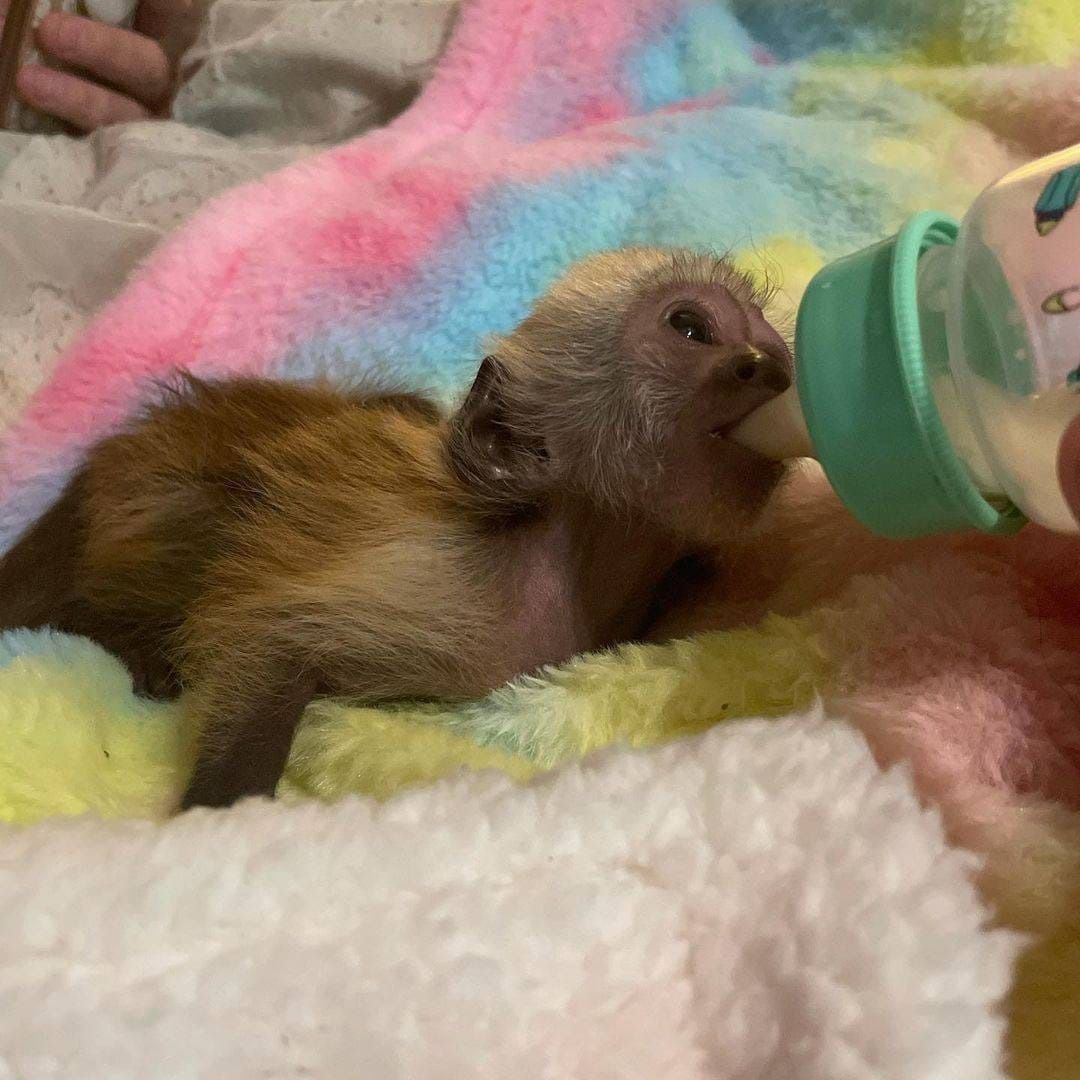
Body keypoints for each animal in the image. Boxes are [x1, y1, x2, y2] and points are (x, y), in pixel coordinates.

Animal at [0, 247, 794, 810]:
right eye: (690, 328)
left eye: (760, 330)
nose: (771, 364)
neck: (578, 559)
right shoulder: (452, 578)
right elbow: (266, 632)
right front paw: (221, 811)